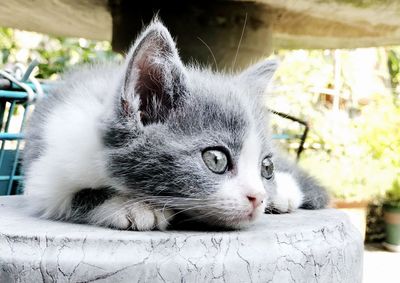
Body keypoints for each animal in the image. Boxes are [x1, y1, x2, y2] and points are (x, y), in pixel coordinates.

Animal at [21, 20, 328, 233]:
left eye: (266, 167)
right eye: (215, 159)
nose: (259, 198)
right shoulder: (46, 173)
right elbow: (73, 195)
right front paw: (135, 206)